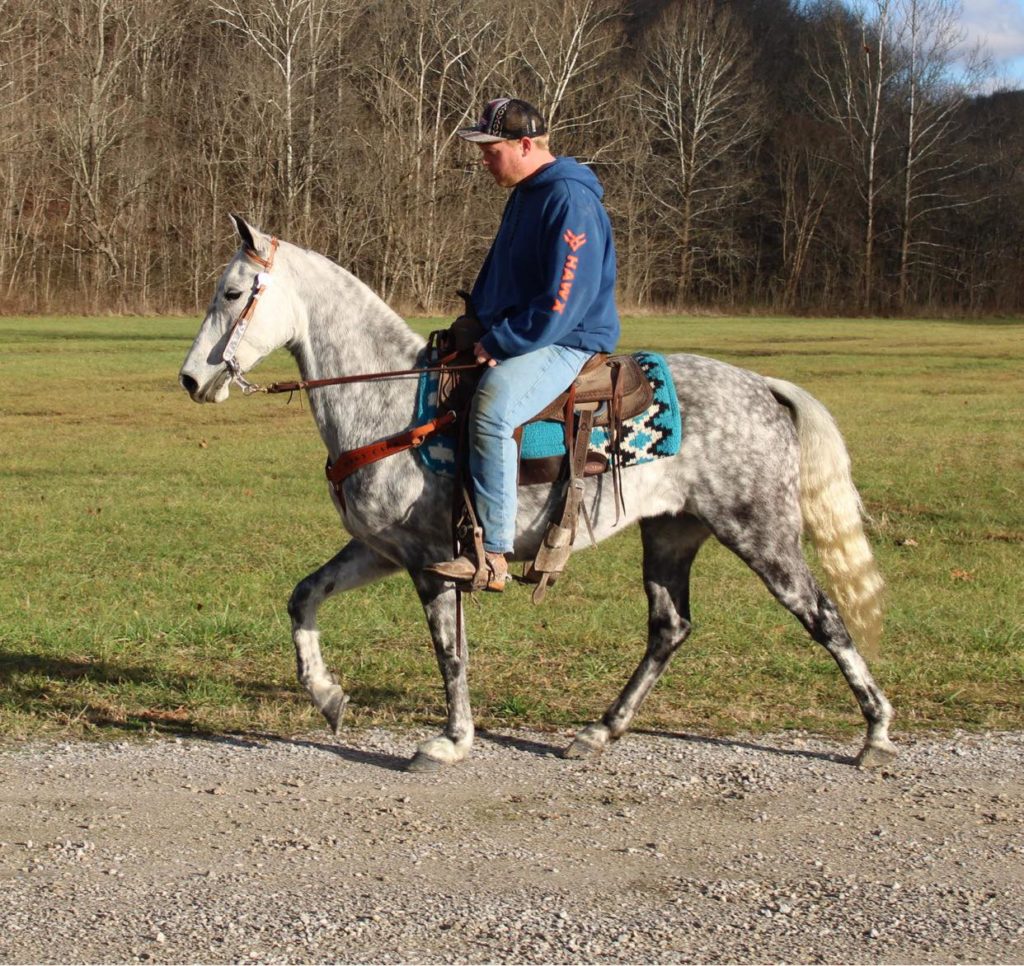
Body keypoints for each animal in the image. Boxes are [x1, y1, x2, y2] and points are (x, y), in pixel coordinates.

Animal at [178, 215, 896, 773]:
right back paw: (600, 731)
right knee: (670, 628)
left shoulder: (432, 561)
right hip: (671, 533)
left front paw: (450, 741)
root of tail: (762, 386)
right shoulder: (381, 550)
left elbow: (450, 652)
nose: (190, 380)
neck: (388, 402)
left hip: (760, 532)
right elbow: (304, 597)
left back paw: (876, 734)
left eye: (233, 291)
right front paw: (327, 697)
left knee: (825, 618)